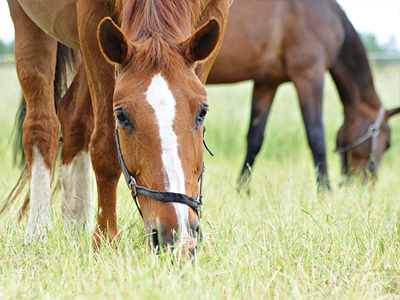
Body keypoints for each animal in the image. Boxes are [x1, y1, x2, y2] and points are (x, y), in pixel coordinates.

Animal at [5, 0, 231, 255]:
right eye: (121, 116)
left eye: (203, 112)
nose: (175, 236)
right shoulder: (92, 22)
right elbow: (105, 145)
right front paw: (105, 237)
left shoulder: (216, 12)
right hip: (30, 24)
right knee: (41, 125)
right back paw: (38, 231)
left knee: (75, 118)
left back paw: (76, 226)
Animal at [206, 0, 400, 189]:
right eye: (388, 144)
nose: (367, 187)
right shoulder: (309, 75)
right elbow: (316, 136)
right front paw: (324, 190)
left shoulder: (267, 83)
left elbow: (255, 139)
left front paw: (242, 190)